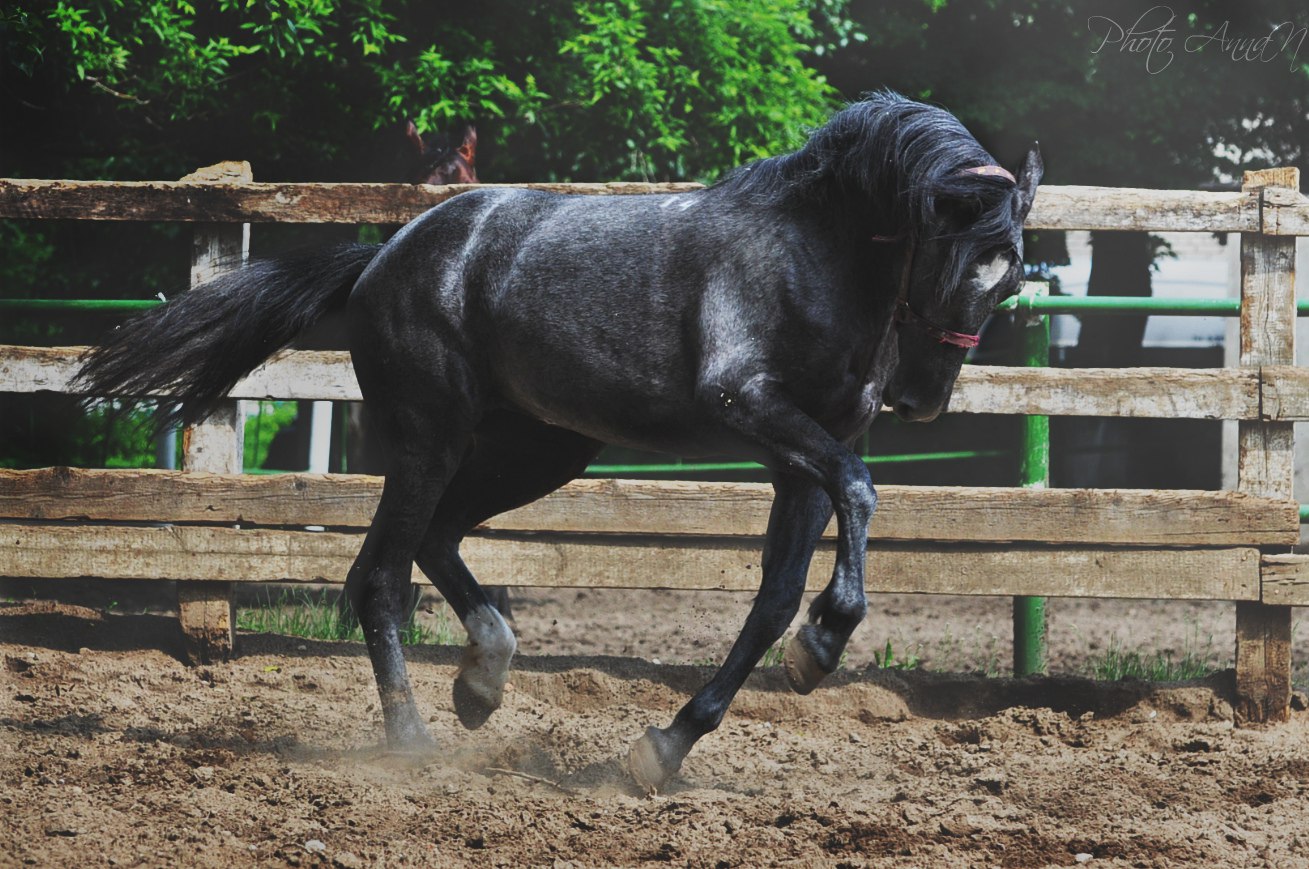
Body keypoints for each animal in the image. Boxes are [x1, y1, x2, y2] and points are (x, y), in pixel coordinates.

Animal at [79, 91, 1041, 790]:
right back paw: (415, 739)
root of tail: (386, 255)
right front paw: (827, 636)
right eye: (954, 255)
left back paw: (482, 682)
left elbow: (773, 597)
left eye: (1011, 276)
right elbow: (863, 489)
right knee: (379, 575)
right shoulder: (748, 405)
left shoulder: (797, 465)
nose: (921, 399)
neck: (809, 253)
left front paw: (674, 740)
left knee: (433, 540)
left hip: (540, 448)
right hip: (430, 439)